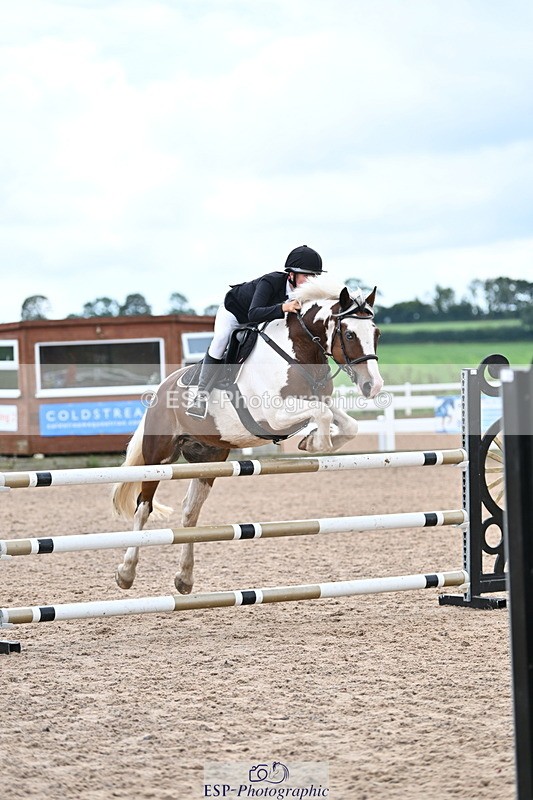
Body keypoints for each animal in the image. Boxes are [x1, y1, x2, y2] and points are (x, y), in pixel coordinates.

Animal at [112, 275, 384, 593]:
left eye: (376, 333)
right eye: (350, 334)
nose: (373, 386)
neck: (298, 350)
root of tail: (160, 389)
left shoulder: (316, 402)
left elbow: (346, 424)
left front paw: (310, 441)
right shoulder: (275, 416)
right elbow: (323, 416)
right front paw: (316, 442)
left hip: (210, 457)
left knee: (190, 511)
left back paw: (184, 578)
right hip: (159, 456)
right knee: (143, 508)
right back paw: (126, 573)